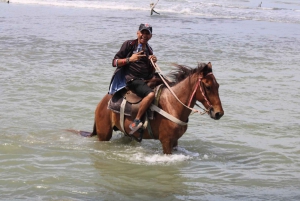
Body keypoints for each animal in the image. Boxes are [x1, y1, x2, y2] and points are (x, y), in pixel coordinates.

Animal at [89, 62, 223, 153]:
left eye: (218, 85)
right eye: (208, 87)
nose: (219, 113)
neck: (173, 105)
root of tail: (102, 102)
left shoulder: (175, 141)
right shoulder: (166, 142)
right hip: (104, 135)